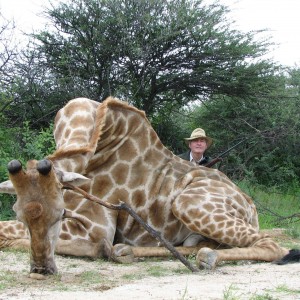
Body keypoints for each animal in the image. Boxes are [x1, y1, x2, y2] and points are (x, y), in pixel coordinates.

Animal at [0, 97, 298, 276]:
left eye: (59, 214)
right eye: (19, 213)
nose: (42, 269)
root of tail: (252, 207)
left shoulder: (96, 227)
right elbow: (6, 228)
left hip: (186, 202)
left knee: (272, 245)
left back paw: (206, 258)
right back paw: (128, 251)